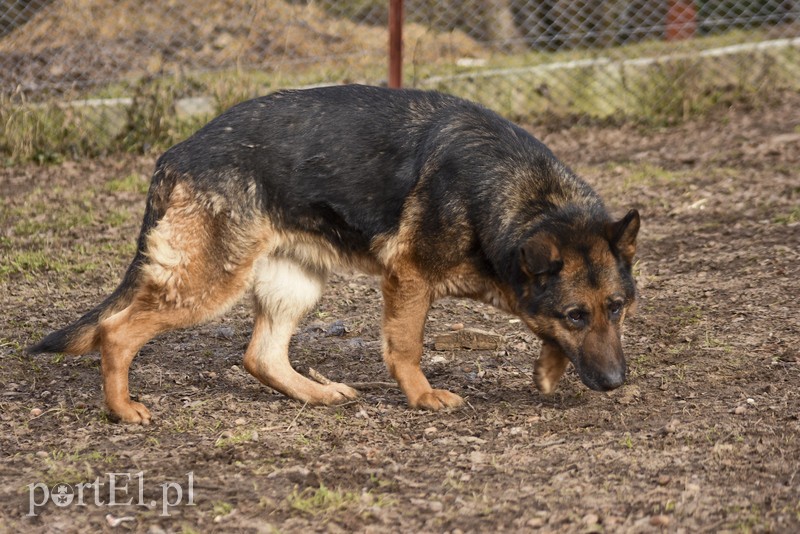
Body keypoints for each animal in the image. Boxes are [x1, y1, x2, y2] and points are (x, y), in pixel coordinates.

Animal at [29, 86, 636, 426]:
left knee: (260, 357)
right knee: (116, 330)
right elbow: (407, 347)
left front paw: (549, 371)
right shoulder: (409, 277)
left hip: (296, 283)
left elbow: (538, 326)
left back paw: (315, 394)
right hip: (210, 284)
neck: (524, 197)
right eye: (576, 314)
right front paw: (422, 397)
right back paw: (121, 410)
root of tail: (173, 155)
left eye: (617, 308)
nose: (614, 383)